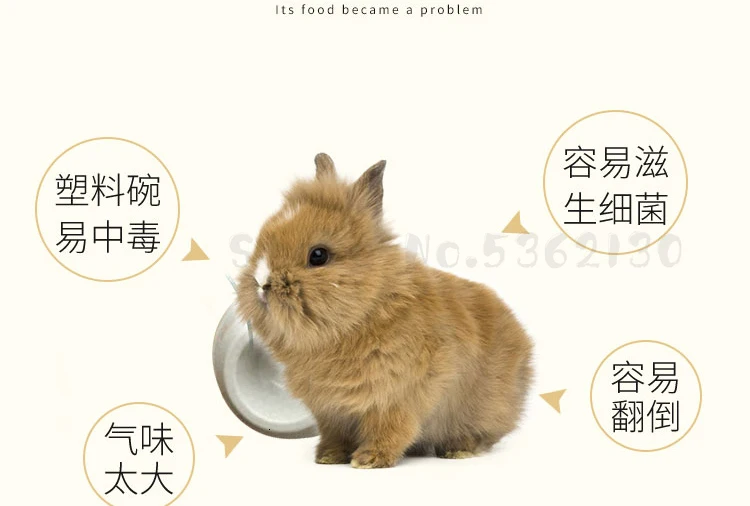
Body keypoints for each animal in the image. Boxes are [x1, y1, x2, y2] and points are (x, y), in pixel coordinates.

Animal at [237, 153, 533, 469]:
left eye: (318, 255)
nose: (262, 283)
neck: (363, 315)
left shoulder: (397, 399)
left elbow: (390, 430)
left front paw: (368, 460)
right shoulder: (330, 411)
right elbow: (334, 435)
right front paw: (328, 457)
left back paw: (458, 450)